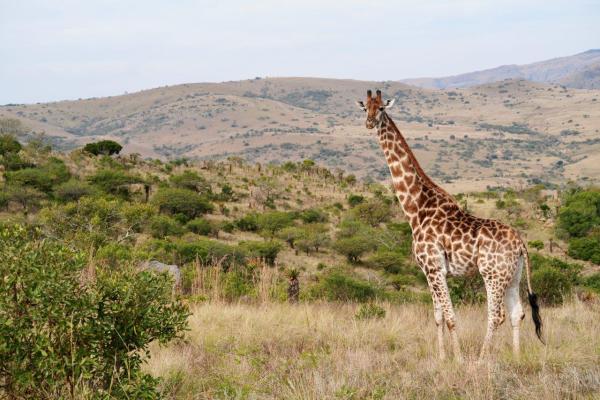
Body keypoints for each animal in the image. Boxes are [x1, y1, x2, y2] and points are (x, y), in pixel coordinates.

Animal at [356, 90, 544, 360]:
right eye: (365, 109)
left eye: (381, 108)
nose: (370, 123)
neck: (416, 208)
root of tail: (521, 244)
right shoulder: (428, 271)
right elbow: (438, 317)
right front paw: (442, 358)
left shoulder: (435, 268)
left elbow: (451, 317)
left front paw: (458, 358)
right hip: (513, 275)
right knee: (517, 313)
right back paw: (517, 358)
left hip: (492, 274)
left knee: (496, 316)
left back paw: (481, 360)